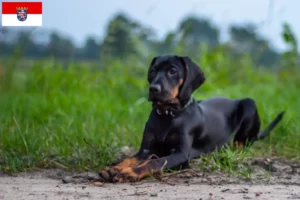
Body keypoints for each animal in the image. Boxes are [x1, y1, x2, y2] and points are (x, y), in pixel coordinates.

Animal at [99, 54, 284, 183]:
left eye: (172, 70)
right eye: (153, 70)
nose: (153, 89)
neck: (168, 115)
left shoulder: (180, 154)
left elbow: (155, 162)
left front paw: (130, 172)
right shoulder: (145, 150)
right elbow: (130, 158)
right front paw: (114, 168)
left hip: (249, 104)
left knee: (241, 144)